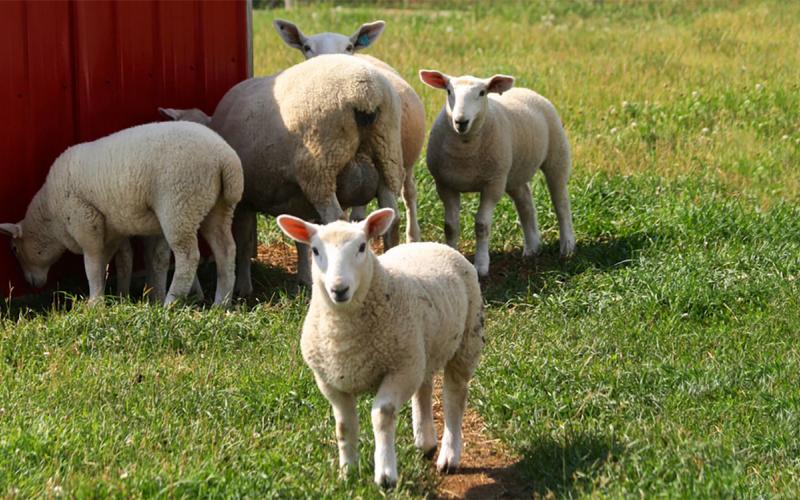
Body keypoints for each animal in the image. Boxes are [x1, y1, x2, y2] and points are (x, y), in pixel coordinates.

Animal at [0, 121, 243, 306]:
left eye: (14, 249)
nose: (31, 283)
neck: (51, 217)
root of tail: (226, 160)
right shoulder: (113, 229)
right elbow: (120, 261)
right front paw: (119, 296)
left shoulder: (85, 220)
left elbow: (92, 264)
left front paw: (94, 303)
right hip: (216, 208)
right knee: (226, 250)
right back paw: (221, 303)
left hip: (180, 206)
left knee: (188, 257)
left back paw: (170, 304)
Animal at [159, 54, 404, 295]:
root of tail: (365, 94)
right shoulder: (297, 202)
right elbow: (302, 240)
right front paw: (304, 278)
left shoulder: (244, 200)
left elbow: (244, 242)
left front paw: (243, 288)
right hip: (387, 156)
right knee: (392, 218)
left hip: (320, 169)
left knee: (336, 220)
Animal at [276, 208, 484, 488]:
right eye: (316, 250)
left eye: (362, 247)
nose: (339, 289)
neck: (343, 332)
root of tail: (428, 243)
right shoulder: (330, 381)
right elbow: (344, 426)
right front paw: (348, 473)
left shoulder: (400, 370)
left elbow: (382, 414)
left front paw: (385, 475)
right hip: (420, 351)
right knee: (424, 387)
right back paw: (425, 442)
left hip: (465, 342)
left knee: (454, 397)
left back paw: (449, 456)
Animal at [419, 70, 576, 277]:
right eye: (449, 91)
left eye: (482, 93)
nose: (461, 122)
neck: (465, 150)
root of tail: (525, 89)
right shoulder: (445, 185)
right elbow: (450, 227)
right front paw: (450, 256)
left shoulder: (492, 185)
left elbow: (482, 225)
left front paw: (481, 266)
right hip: (512, 173)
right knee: (525, 202)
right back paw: (532, 248)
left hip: (556, 155)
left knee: (561, 203)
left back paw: (567, 247)